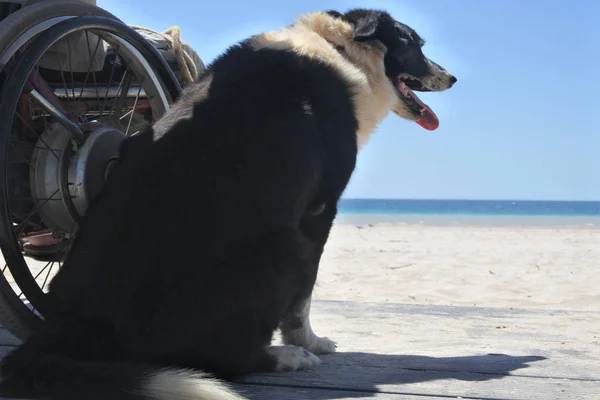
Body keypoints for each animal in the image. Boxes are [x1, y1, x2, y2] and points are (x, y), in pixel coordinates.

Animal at [0, 7, 458, 400]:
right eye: (415, 44)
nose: (452, 78)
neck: (339, 47)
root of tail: (66, 331)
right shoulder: (318, 212)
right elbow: (302, 303)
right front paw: (310, 342)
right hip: (284, 247)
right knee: (222, 361)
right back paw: (282, 357)